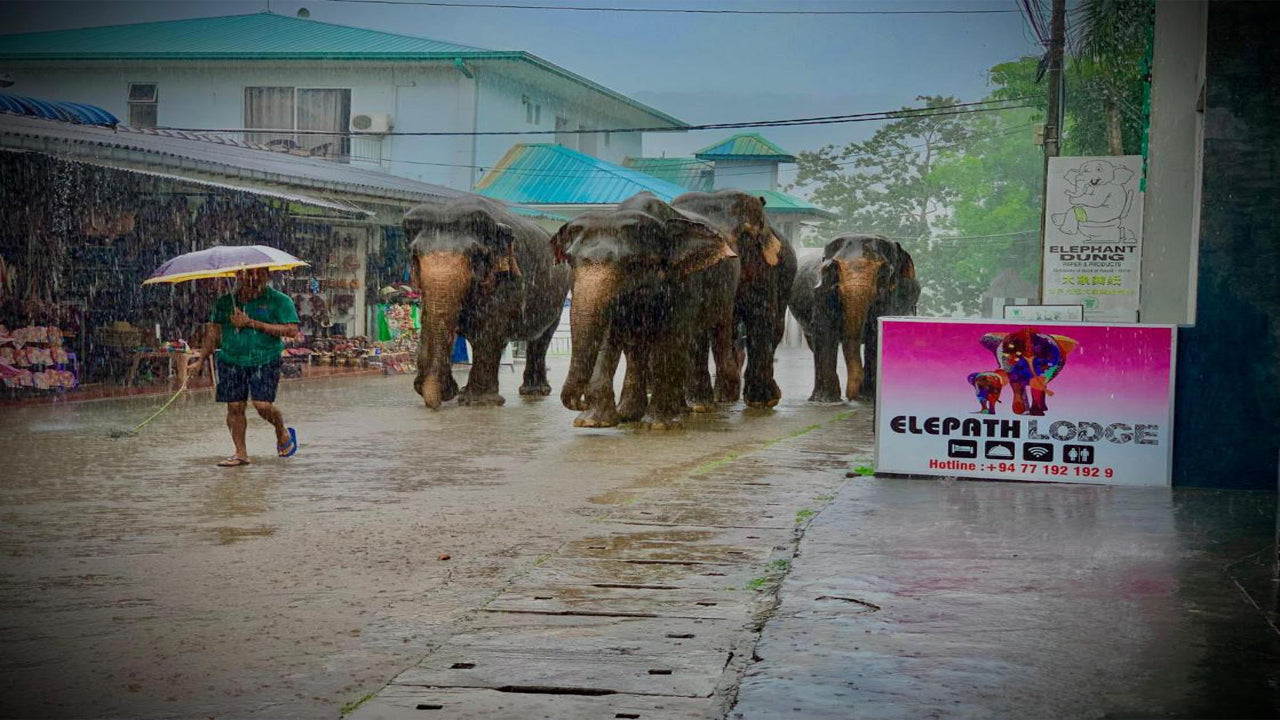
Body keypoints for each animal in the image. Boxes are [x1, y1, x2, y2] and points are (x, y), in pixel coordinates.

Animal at [404, 196, 570, 407]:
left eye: (475, 255)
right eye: (415, 253)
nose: (448, 391)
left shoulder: (507, 280)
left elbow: (488, 330)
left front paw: (477, 401)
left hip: (558, 298)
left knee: (542, 338)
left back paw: (535, 392)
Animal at [550, 188, 742, 427]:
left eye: (633, 264)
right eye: (570, 261)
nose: (580, 402)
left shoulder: (683, 280)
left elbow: (670, 337)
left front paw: (658, 424)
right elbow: (607, 337)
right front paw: (593, 421)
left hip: (726, 291)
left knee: (712, 335)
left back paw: (702, 406)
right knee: (642, 347)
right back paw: (639, 412)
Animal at [675, 188, 793, 407]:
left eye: (745, 235)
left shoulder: (765, 268)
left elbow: (761, 316)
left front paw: (761, 401)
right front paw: (699, 403)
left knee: (775, 328)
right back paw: (723, 397)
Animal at [788, 235, 921, 404]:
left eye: (884, 272)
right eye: (833, 267)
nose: (851, 397)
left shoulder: (891, 297)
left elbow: (875, 333)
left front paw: (866, 398)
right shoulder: (822, 292)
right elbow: (825, 331)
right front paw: (825, 401)